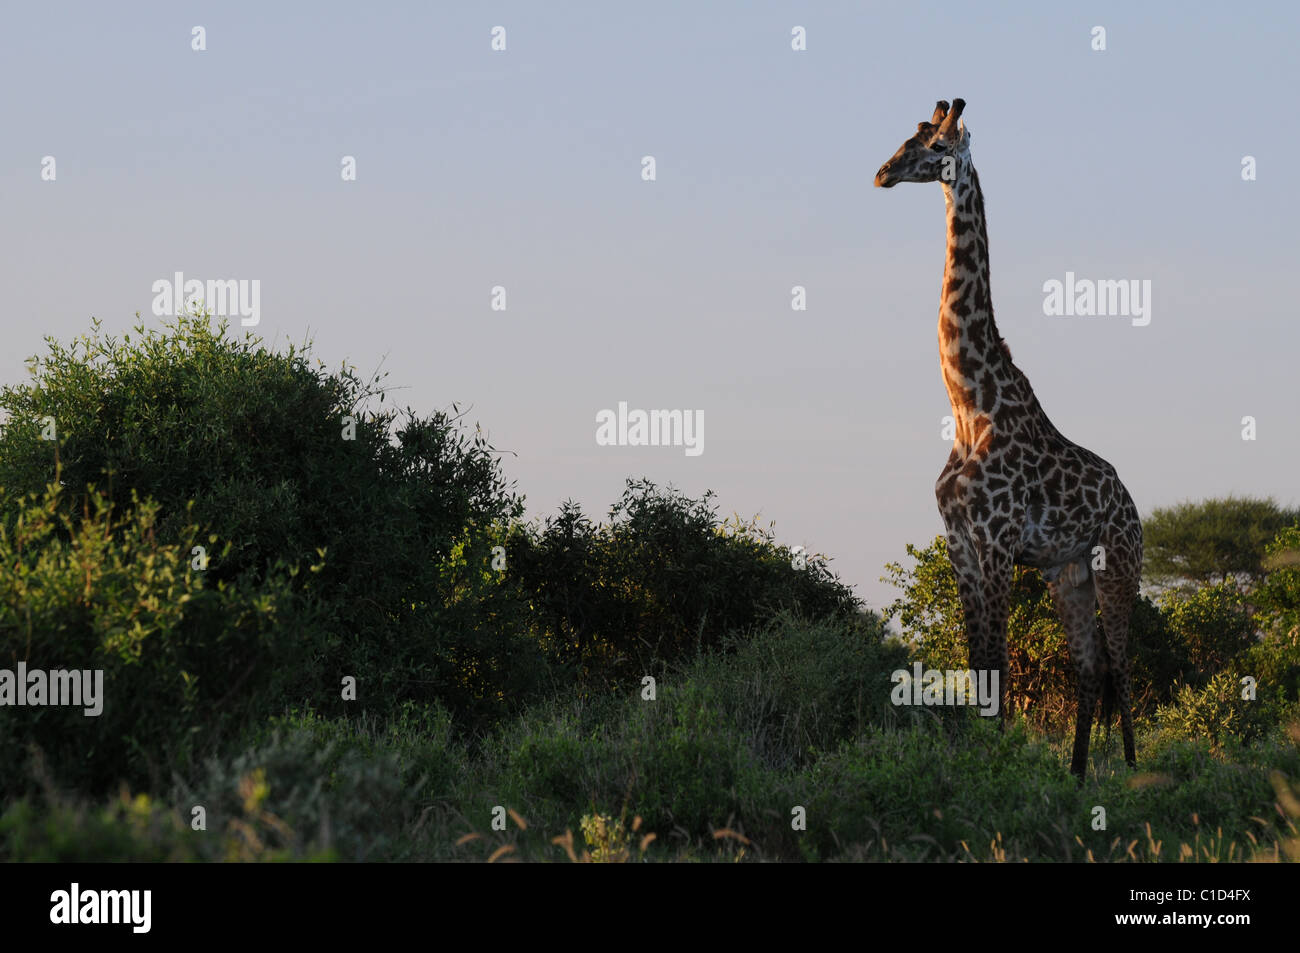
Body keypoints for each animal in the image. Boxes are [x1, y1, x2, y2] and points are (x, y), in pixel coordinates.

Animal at [873, 98, 1138, 780]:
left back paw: (1131, 771)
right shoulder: (962, 544)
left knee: (1123, 666)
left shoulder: (995, 543)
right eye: (908, 136)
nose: (882, 173)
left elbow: (998, 669)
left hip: (1120, 563)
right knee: (1090, 668)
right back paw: (1075, 776)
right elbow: (979, 667)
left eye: (937, 144)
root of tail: (1132, 503)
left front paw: (994, 763)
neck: (970, 405)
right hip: (1068, 573)